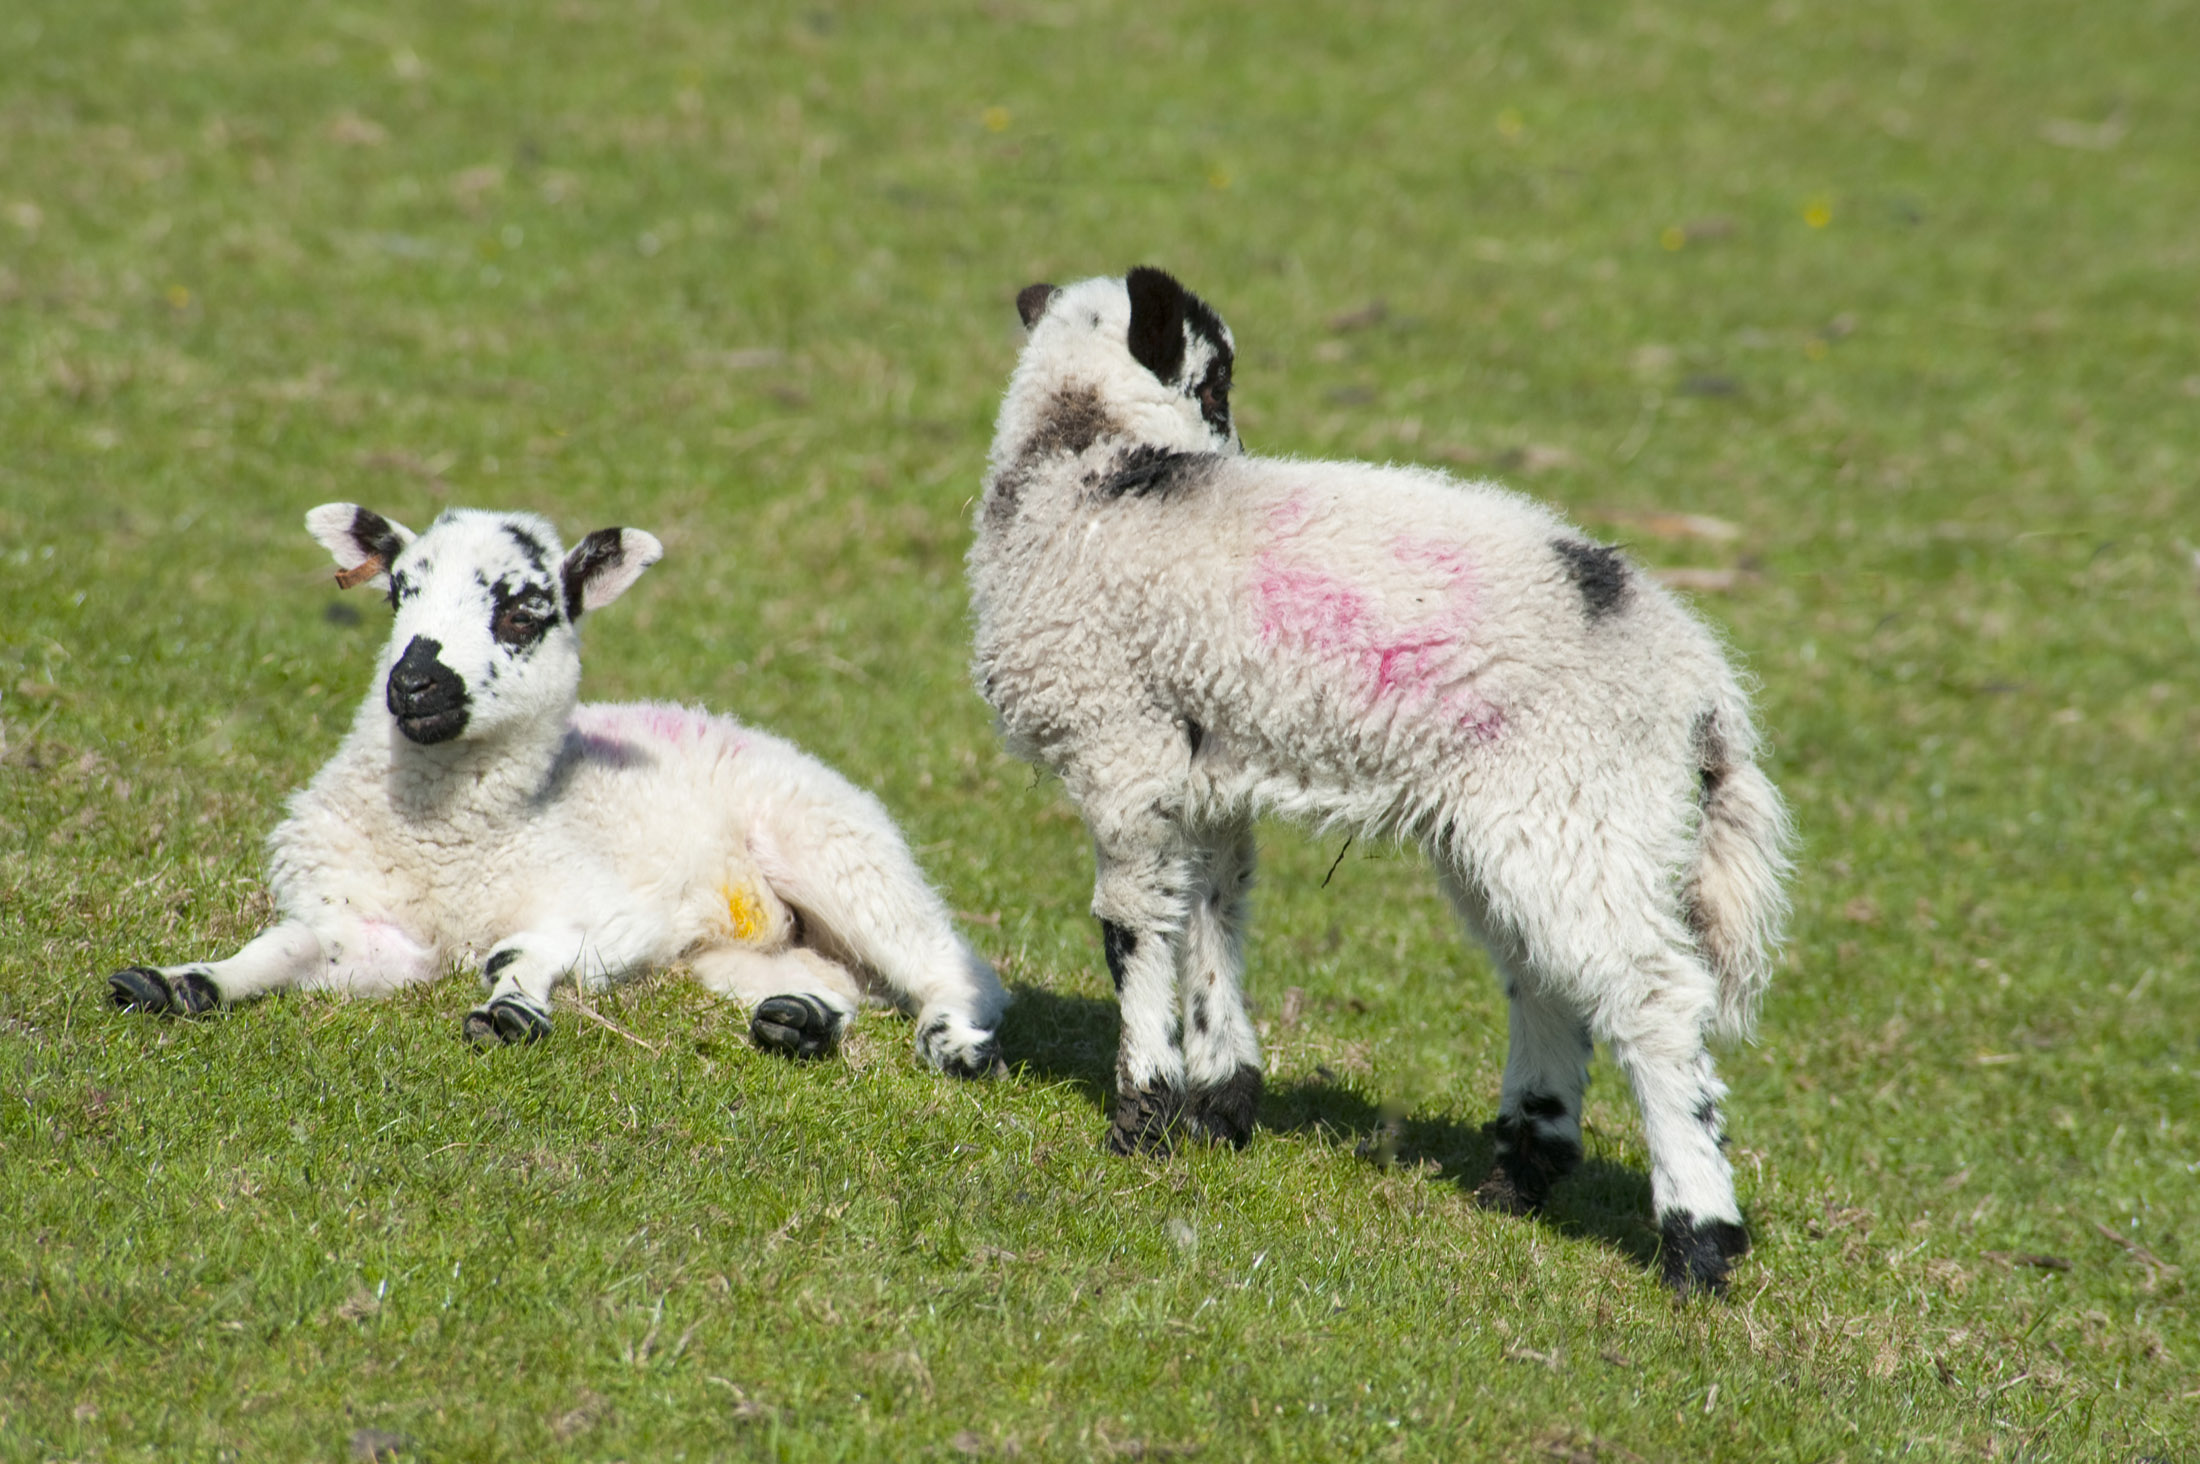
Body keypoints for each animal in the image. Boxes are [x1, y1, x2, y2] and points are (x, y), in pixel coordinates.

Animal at [107, 504, 1007, 1075]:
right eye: (400, 592)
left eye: (522, 613)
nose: (414, 684)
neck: (451, 844)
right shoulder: (368, 927)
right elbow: (282, 948)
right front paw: (178, 983)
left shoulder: (617, 915)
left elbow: (521, 952)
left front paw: (510, 1010)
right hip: (736, 949)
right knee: (837, 979)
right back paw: (801, 1022)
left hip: (837, 850)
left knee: (947, 961)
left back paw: (953, 1043)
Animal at [965, 268, 1793, 1292]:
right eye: (1217, 383)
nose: (1237, 449)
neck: (1085, 472)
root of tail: (1702, 690)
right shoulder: (1206, 775)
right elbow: (1212, 916)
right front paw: (1219, 1105)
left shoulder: (1124, 750)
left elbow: (1135, 931)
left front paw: (1142, 1120)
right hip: (1523, 824)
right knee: (1546, 980)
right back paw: (1521, 1176)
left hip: (1579, 804)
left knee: (1655, 1000)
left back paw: (1697, 1241)